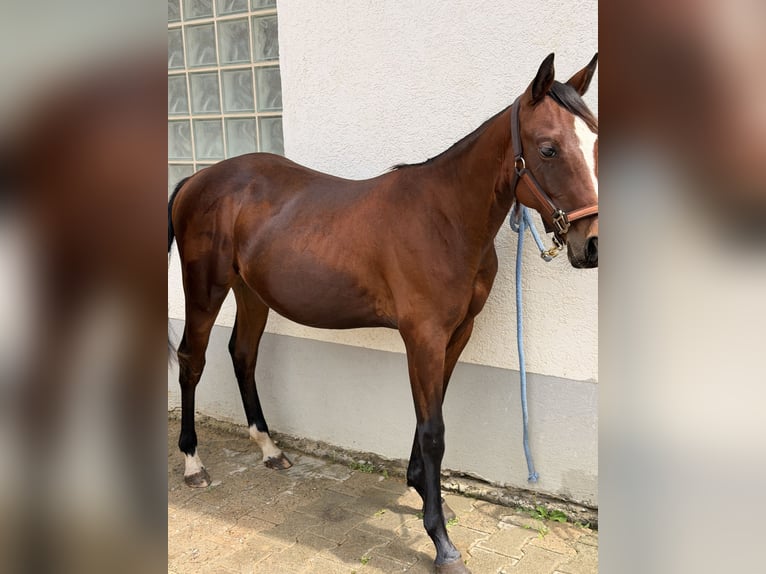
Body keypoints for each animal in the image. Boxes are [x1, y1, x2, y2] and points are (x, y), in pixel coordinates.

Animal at [168, 53, 598, 573]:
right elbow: (433, 431)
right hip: (204, 290)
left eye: (595, 138)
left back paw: (269, 449)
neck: (446, 218)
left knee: (243, 354)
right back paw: (193, 463)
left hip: (251, 292)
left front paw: (425, 492)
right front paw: (441, 540)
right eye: (549, 149)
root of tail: (196, 178)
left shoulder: (456, 333)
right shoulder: (423, 337)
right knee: (192, 361)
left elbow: (431, 412)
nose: (592, 245)